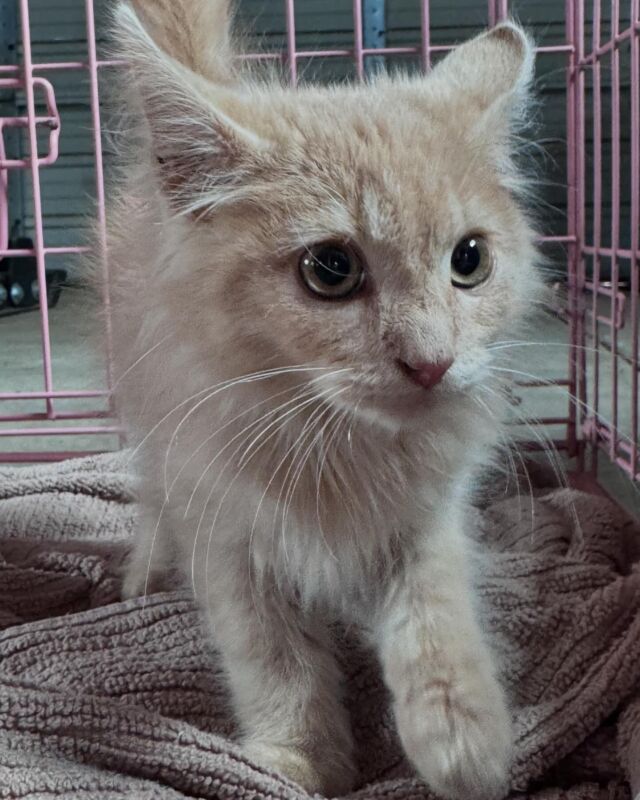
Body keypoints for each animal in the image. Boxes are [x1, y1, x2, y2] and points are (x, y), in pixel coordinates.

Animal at [104, 3, 540, 796]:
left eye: (470, 259)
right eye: (330, 269)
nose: (431, 363)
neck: (339, 445)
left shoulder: (428, 511)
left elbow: (435, 610)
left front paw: (462, 734)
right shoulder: (224, 529)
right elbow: (271, 654)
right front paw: (299, 757)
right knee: (151, 500)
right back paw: (145, 570)